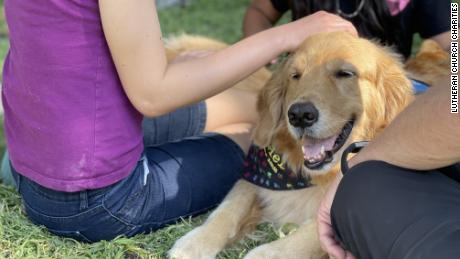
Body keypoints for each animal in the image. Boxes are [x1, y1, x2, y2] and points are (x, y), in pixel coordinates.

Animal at [168, 32, 414, 259]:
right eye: (295, 75)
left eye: (346, 73)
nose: (299, 115)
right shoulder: (252, 174)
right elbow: (228, 207)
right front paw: (195, 242)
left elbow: (308, 234)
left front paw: (261, 255)